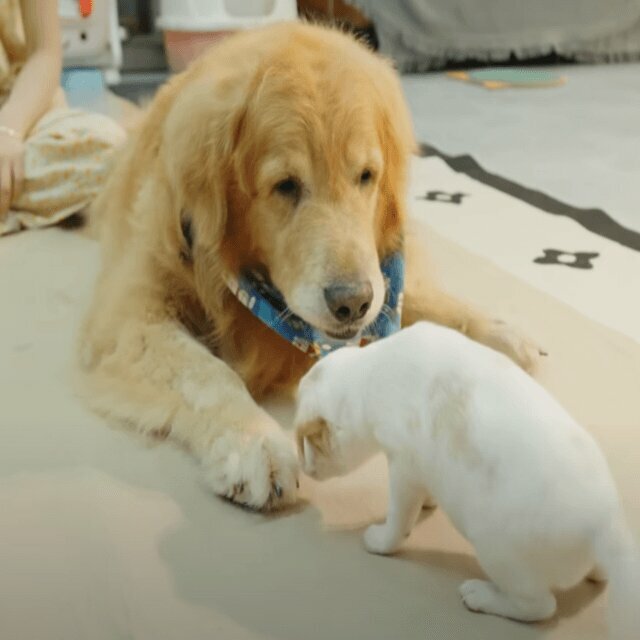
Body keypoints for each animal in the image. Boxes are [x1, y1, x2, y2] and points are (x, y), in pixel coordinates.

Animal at [80, 22, 540, 510]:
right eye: (285, 186)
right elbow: (205, 373)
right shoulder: (129, 319)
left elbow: (418, 299)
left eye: (366, 176)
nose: (352, 303)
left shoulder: (382, 281)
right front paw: (255, 445)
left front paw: (498, 332)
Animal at [296, 322, 640, 636]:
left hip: (497, 553)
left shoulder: (403, 469)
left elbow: (398, 522)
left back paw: (482, 596)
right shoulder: (419, 470)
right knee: (598, 576)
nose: (302, 471)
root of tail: (605, 527)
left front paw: (381, 542)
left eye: (303, 448)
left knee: (540, 607)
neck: (370, 373)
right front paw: (429, 503)